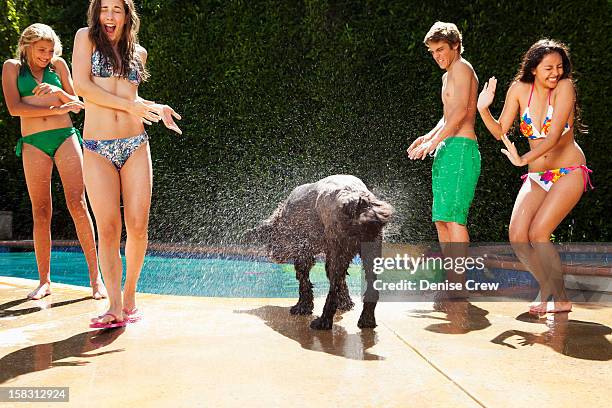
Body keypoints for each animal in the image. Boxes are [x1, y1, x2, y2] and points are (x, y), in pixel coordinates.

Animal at [247, 174, 392, 330]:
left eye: (271, 238)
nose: (272, 254)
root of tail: (358, 201)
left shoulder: (304, 252)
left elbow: (304, 281)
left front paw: (302, 307)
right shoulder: (330, 252)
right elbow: (340, 280)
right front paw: (346, 303)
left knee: (333, 290)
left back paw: (323, 321)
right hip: (370, 251)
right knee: (370, 287)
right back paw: (367, 320)